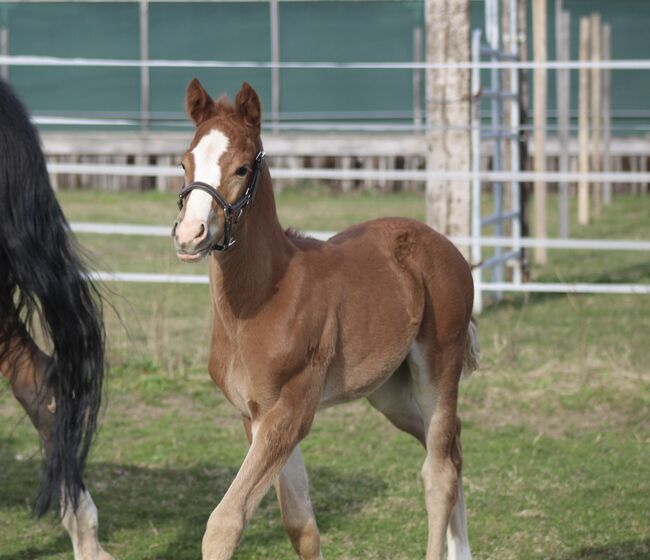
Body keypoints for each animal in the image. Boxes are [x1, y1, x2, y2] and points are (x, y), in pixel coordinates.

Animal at [172, 78, 479, 560]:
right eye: (185, 162)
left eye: (241, 168)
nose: (190, 235)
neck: (261, 298)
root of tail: (444, 244)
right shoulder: (255, 416)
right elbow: (300, 523)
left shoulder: (292, 409)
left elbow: (224, 522)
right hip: (390, 392)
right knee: (453, 445)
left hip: (438, 368)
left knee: (439, 473)